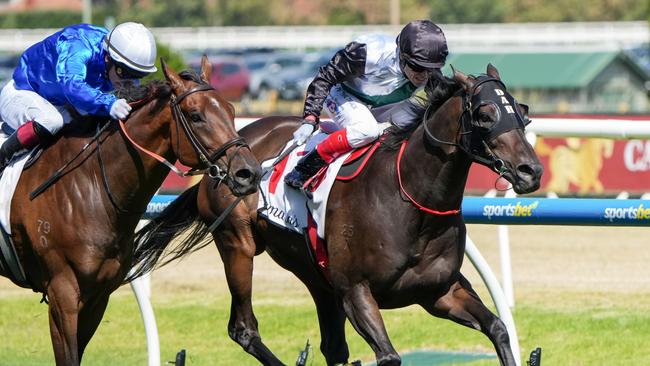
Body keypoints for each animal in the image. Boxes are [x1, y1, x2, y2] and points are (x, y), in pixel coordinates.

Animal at [3, 55, 260, 364]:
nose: (249, 173)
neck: (91, 186)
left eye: (231, 111)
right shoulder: (62, 293)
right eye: (196, 116)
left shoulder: (97, 295)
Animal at [130, 64, 540, 364]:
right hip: (238, 244)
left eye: (521, 112)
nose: (530, 171)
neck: (411, 201)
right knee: (243, 329)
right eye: (485, 114)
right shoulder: (356, 290)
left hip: (316, 275)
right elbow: (389, 356)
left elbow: (499, 328)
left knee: (332, 347)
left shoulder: (440, 291)